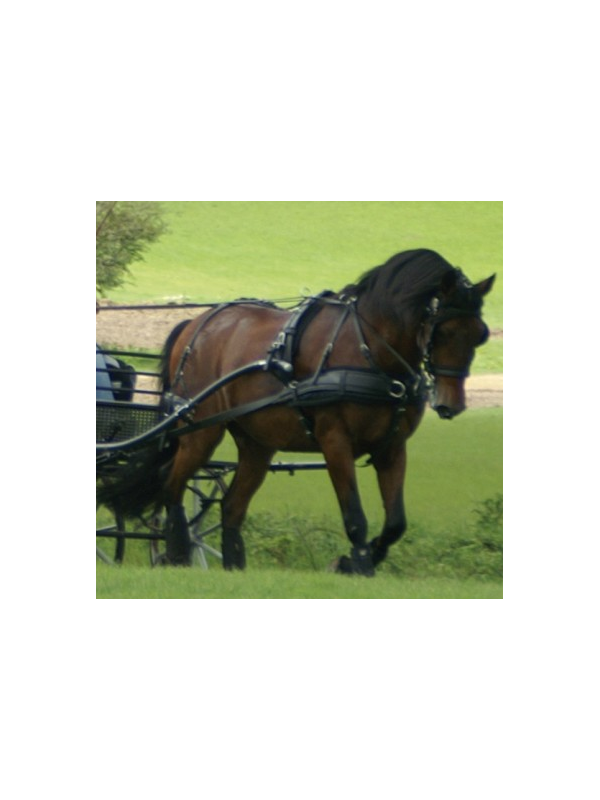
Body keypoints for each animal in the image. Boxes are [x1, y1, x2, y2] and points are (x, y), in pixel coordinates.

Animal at [98, 249, 495, 574]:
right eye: (442, 331)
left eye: (480, 334)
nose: (451, 404)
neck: (369, 349)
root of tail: (195, 324)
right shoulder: (335, 441)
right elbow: (354, 515)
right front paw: (357, 564)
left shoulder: (392, 447)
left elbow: (396, 522)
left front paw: (356, 560)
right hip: (200, 429)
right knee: (173, 485)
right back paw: (179, 551)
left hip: (257, 444)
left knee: (231, 505)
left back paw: (233, 565)